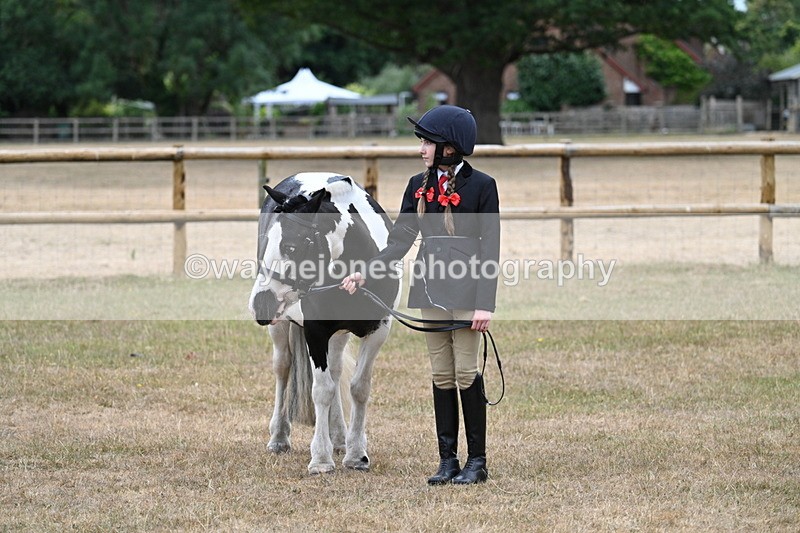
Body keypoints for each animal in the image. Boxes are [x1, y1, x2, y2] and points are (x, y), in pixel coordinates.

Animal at [248, 172, 401, 474]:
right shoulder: (315, 332)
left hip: (339, 334)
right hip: (280, 327)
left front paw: (356, 454)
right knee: (283, 368)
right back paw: (279, 437)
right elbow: (322, 390)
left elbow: (358, 388)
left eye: (291, 246)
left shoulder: (379, 330)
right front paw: (320, 458)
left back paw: (339, 437)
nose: (260, 305)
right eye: (267, 241)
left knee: (337, 371)